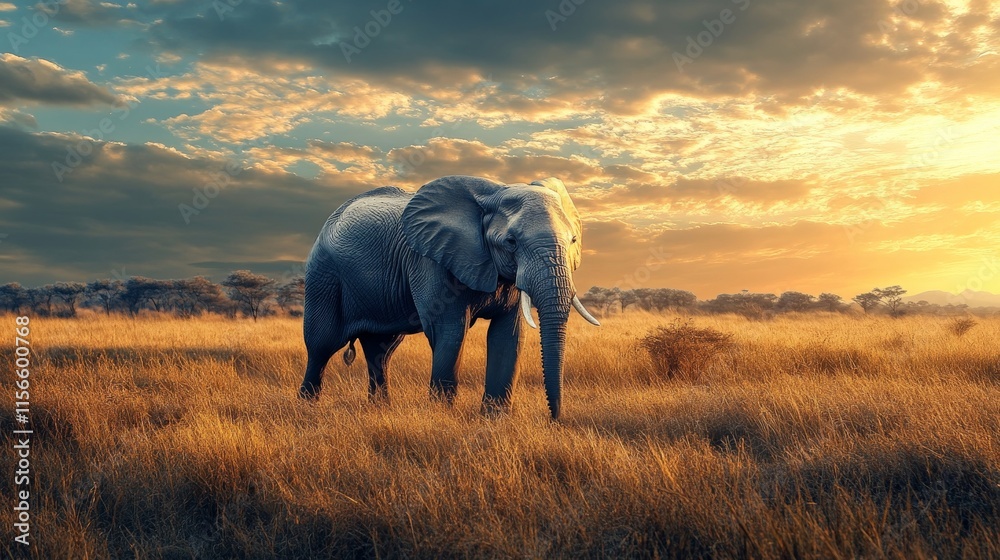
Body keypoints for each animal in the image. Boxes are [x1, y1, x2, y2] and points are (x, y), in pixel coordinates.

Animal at [297, 175, 600, 419]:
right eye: (511, 242)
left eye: (573, 240)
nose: (554, 417)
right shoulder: (429, 260)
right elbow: (450, 331)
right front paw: (442, 416)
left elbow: (508, 336)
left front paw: (495, 419)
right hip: (324, 274)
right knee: (322, 344)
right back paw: (307, 407)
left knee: (380, 350)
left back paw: (380, 409)